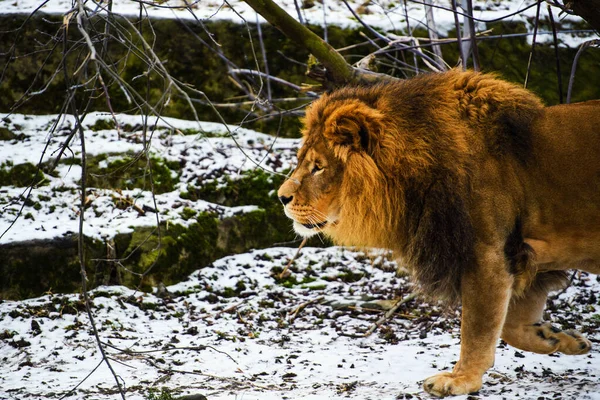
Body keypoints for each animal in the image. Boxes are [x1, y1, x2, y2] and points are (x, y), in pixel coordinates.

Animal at [278, 69, 600, 396]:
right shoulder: (526, 252)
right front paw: (556, 337)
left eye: (318, 167)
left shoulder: (487, 254)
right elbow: (510, 326)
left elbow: (477, 327)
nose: (281, 197)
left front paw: (460, 379)